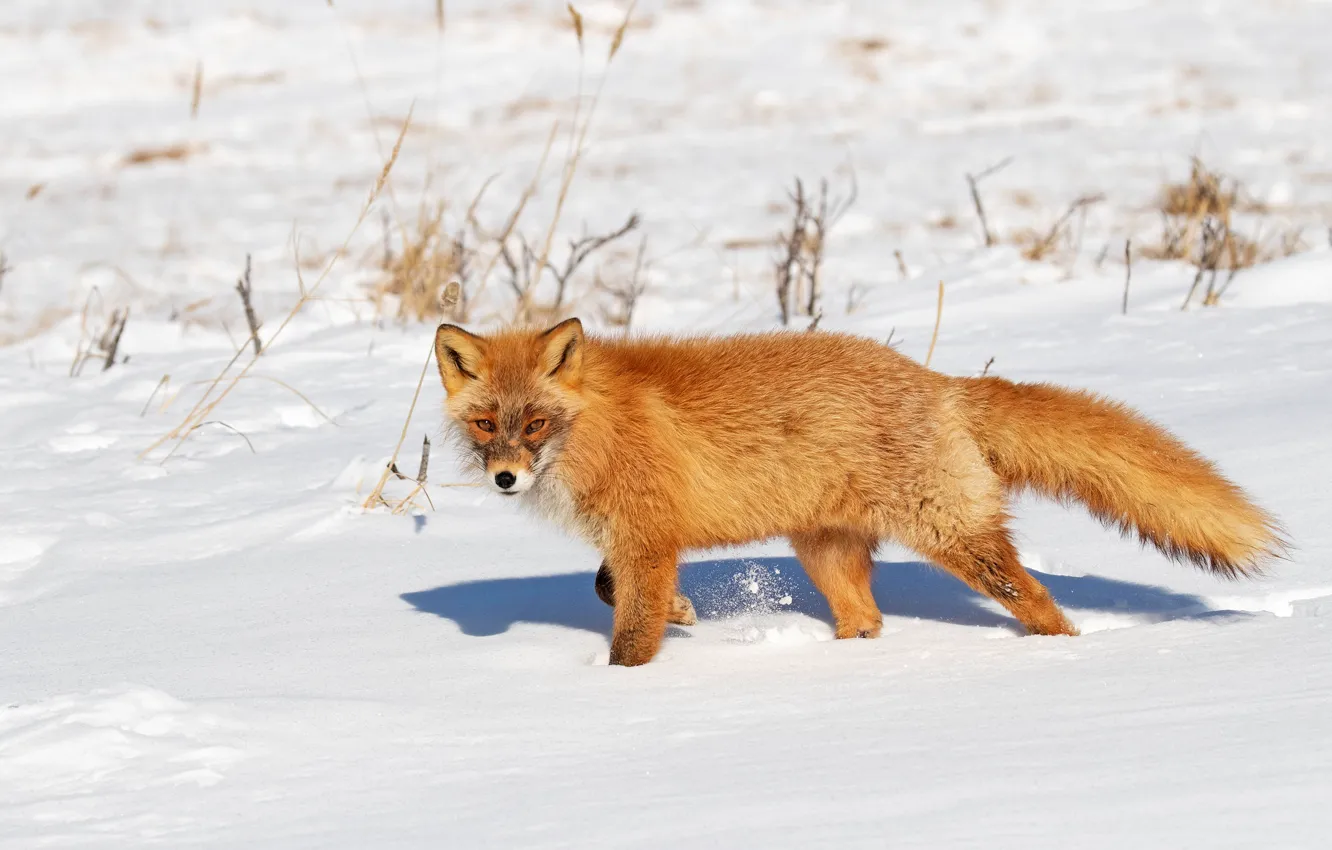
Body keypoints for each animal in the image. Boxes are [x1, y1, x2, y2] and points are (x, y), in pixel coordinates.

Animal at [434, 318, 1285, 667]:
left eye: (535, 422)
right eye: (485, 424)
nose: (506, 479)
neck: (596, 430)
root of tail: (937, 382)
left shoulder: (648, 538)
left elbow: (629, 633)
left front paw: (625, 685)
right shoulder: (635, 545)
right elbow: (607, 589)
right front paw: (684, 612)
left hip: (953, 539)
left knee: (1041, 602)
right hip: (823, 550)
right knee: (867, 622)